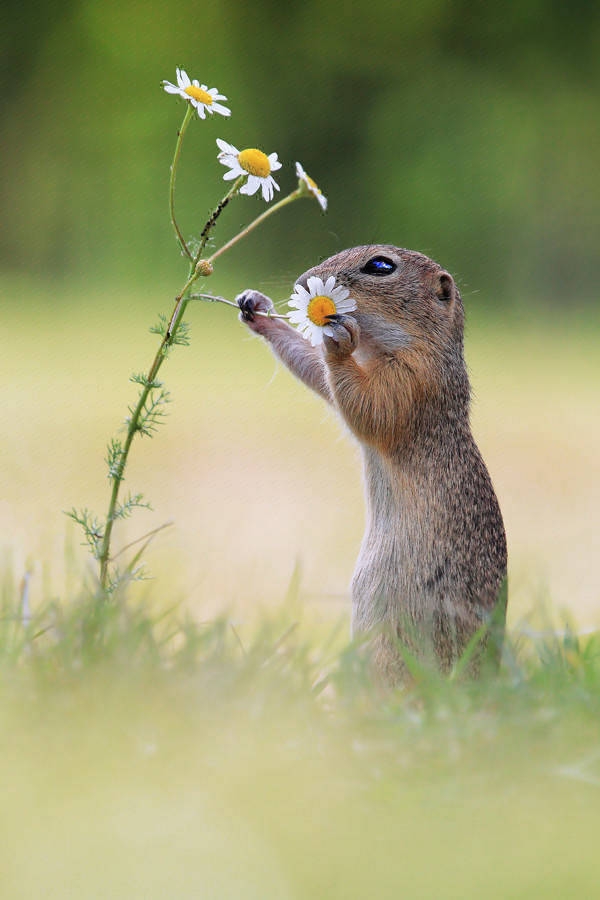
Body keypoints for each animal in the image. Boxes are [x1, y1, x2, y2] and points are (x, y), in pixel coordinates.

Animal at [238, 243, 506, 680]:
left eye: (380, 266)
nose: (303, 282)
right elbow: (319, 375)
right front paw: (257, 308)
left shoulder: (412, 381)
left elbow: (370, 408)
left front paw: (337, 343)